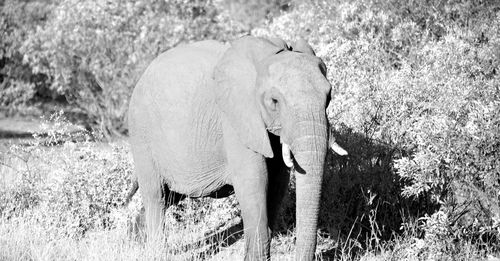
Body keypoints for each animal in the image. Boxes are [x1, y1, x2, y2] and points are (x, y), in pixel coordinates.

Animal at [128, 35, 348, 260]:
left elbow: (277, 183)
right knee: (156, 196)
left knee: (170, 195)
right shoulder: (235, 119)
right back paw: (155, 252)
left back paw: (134, 238)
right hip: (141, 134)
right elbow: (254, 182)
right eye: (274, 101)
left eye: (329, 96)